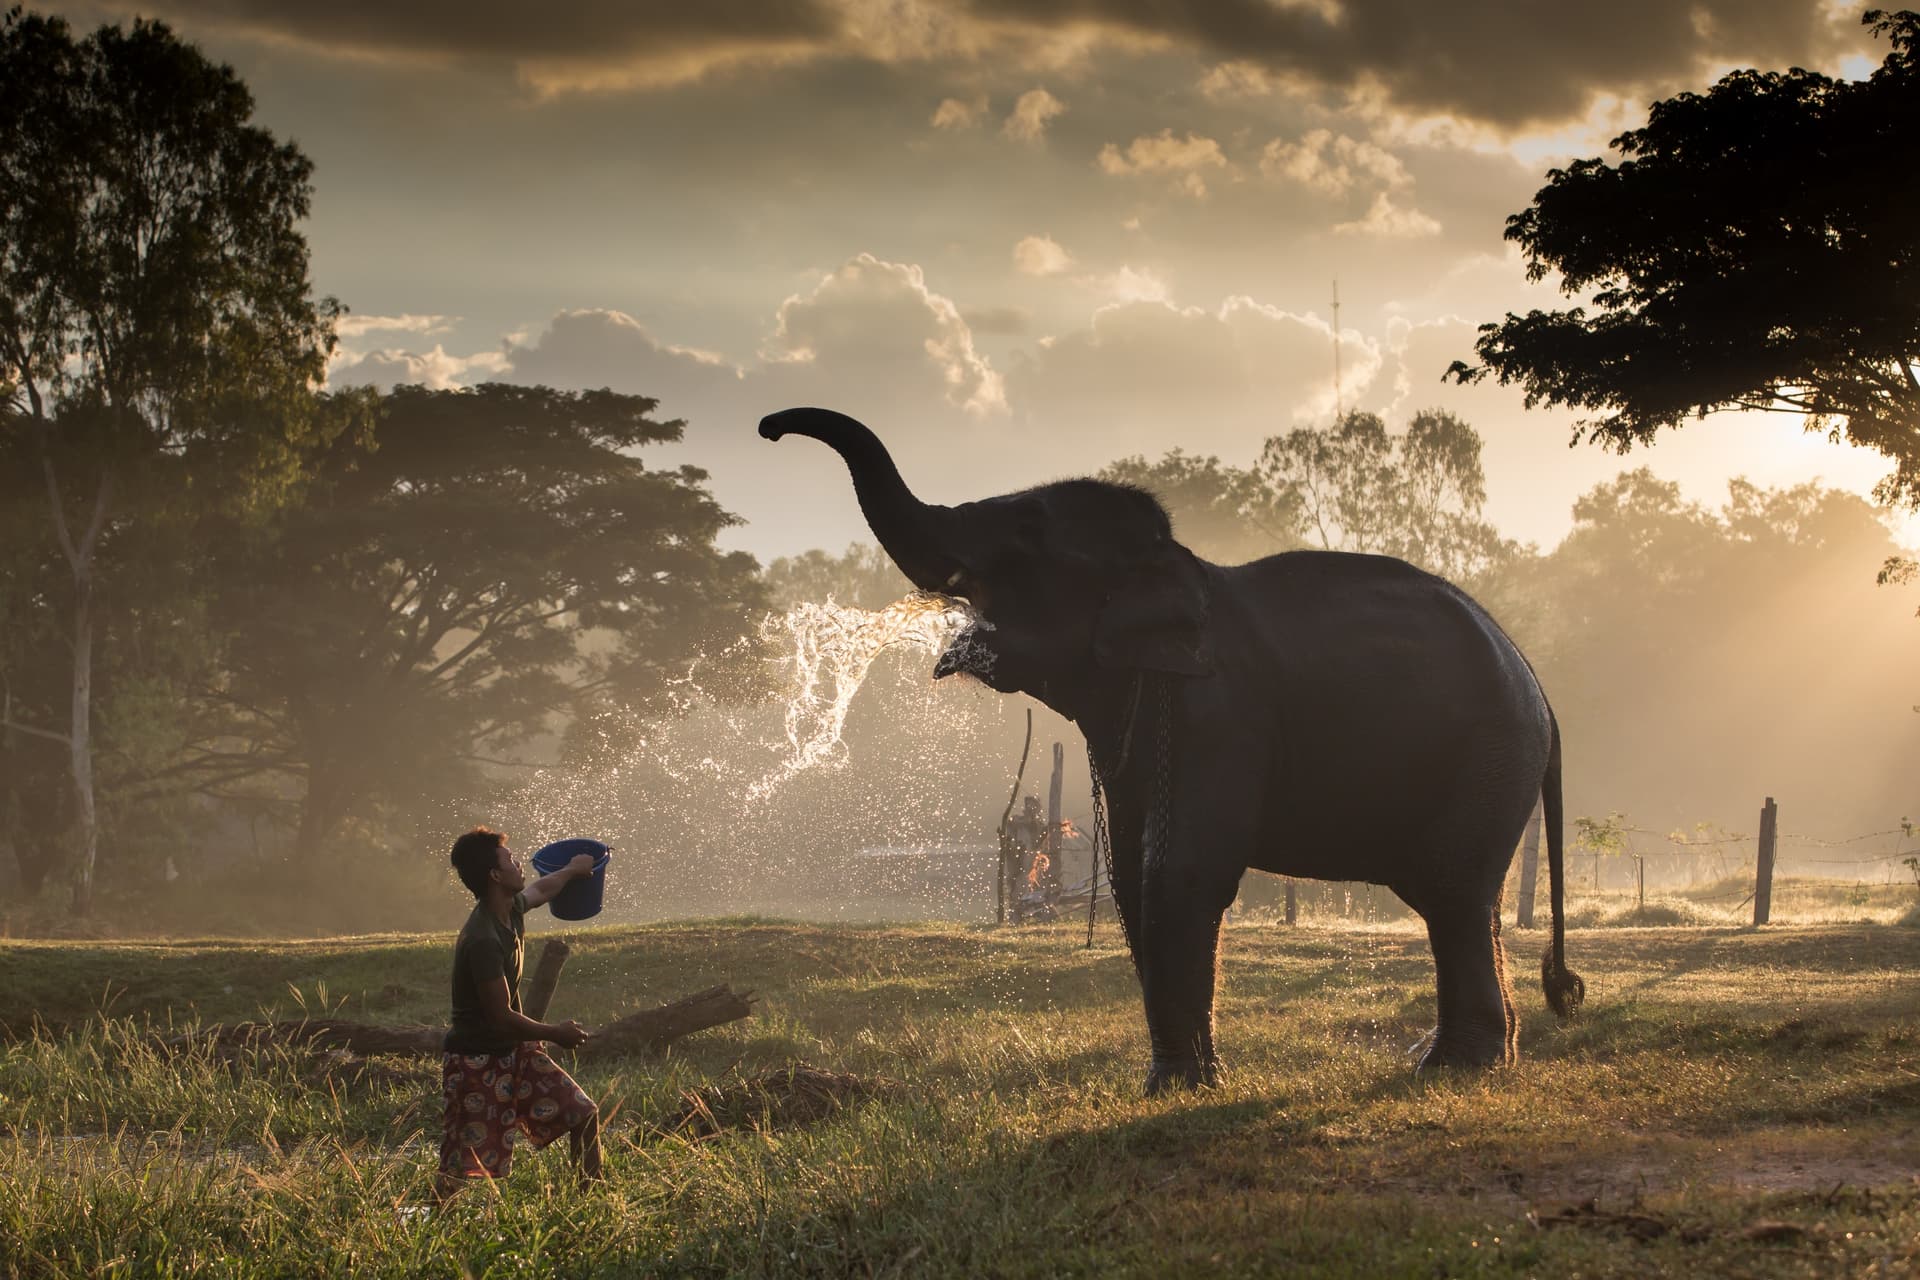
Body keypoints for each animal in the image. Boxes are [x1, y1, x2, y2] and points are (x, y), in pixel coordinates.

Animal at [759, 406, 1585, 1095]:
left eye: (1026, 534)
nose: (768, 429)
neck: (1176, 565)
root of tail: (1542, 692)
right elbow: (1131, 874)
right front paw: (1179, 1081)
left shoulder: (1219, 714)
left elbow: (1179, 869)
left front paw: (1176, 1089)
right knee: (1459, 900)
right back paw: (1466, 1059)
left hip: (1488, 756)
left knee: (1450, 891)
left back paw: (1456, 1067)